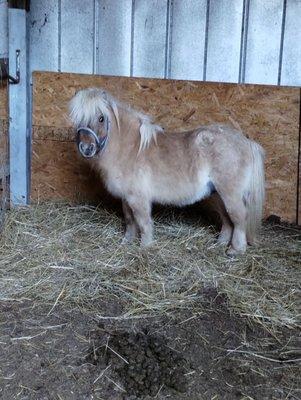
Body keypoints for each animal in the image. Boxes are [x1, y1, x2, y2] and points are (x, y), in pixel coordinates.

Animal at [69, 88, 264, 255]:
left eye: (101, 118)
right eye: (77, 119)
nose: (86, 148)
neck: (131, 149)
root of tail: (247, 142)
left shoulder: (138, 199)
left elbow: (143, 222)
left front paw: (145, 246)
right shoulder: (126, 197)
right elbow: (130, 220)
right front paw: (126, 242)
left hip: (230, 193)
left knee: (239, 218)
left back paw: (235, 250)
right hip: (217, 194)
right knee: (227, 219)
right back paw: (220, 243)